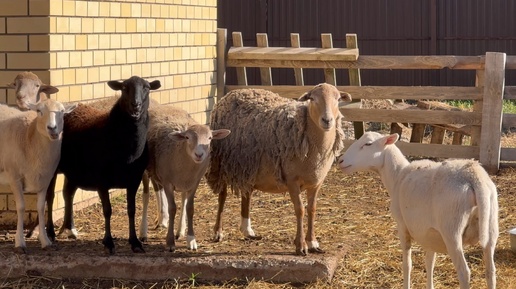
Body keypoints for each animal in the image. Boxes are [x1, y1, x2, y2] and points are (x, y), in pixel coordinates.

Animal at [0, 98, 74, 251]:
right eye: (39, 111)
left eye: (62, 111)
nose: (52, 128)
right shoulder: (14, 176)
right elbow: (21, 207)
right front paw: (20, 242)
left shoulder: (45, 179)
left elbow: (41, 207)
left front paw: (45, 240)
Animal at [140, 104, 231, 250]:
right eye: (187, 137)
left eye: (210, 138)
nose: (199, 155)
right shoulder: (167, 183)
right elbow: (172, 208)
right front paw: (170, 242)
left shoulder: (194, 182)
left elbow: (190, 208)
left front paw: (191, 239)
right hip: (144, 170)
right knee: (146, 197)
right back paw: (143, 232)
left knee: (183, 199)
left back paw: (180, 231)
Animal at [206, 82, 350, 254]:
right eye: (313, 99)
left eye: (338, 99)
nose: (327, 120)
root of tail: (231, 94)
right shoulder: (292, 179)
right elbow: (300, 210)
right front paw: (301, 246)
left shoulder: (316, 181)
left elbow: (312, 209)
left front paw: (313, 243)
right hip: (221, 163)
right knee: (222, 196)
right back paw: (218, 232)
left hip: (248, 165)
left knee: (247, 193)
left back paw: (247, 231)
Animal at [338, 131, 500, 288]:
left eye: (368, 144)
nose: (340, 161)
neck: (397, 176)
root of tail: (474, 175)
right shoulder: (431, 234)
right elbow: (430, 263)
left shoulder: (402, 226)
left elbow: (407, 265)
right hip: (491, 226)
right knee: (491, 271)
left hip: (452, 231)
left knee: (464, 273)